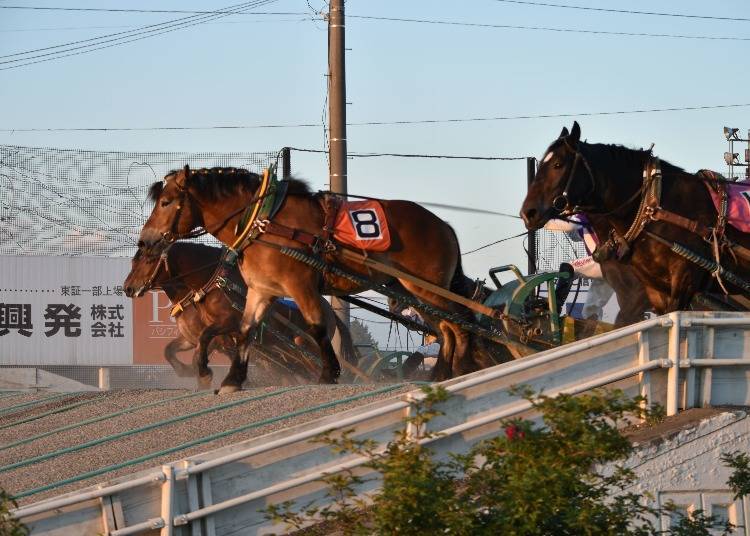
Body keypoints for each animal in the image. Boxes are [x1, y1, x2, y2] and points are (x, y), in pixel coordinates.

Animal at [123, 241, 358, 392]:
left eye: (147, 260)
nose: (128, 288)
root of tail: (329, 309)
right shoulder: (192, 337)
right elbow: (169, 349)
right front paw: (187, 371)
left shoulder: (225, 327)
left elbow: (202, 346)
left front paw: (204, 374)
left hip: (301, 343)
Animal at [136, 166, 488, 382]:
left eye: (166, 201)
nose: (147, 239)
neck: (265, 220)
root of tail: (443, 226)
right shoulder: (262, 292)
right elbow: (245, 331)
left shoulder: (300, 284)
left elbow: (315, 328)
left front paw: (328, 373)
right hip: (415, 291)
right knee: (446, 328)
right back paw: (444, 372)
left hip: (429, 288)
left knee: (460, 323)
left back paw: (462, 367)